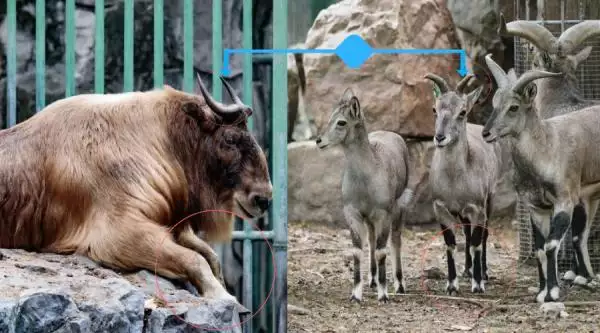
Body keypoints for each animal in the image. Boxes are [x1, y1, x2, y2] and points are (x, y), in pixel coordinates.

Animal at [316, 87, 410, 300]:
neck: (367, 178)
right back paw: (372, 280)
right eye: (331, 117)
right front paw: (356, 294)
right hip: (369, 218)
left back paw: (399, 284)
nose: (319, 141)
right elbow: (358, 250)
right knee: (372, 240)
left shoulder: (384, 212)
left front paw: (383, 295)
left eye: (342, 122)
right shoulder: (353, 212)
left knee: (395, 240)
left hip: (400, 206)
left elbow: (382, 251)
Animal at [424, 73, 504, 294]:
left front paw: (478, 284)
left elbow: (477, 242)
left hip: (490, 199)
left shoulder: (478, 207)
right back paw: (467, 269)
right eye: (434, 109)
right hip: (462, 212)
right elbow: (451, 244)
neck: (455, 181)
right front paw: (452, 285)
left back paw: (483, 272)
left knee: (483, 235)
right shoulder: (441, 208)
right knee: (467, 233)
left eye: (462, 111)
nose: (440, 137)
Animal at [480, 53, 600, 302]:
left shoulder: (564, 200)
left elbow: (551, 245)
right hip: (590, 195)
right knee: (581, 236)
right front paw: (542, 291)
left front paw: (552, 292)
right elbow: (539, 249)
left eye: (514, 107)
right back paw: (586, 278)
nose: (486, 133)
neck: (547, 147)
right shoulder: (537, 207)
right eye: (495, 103)